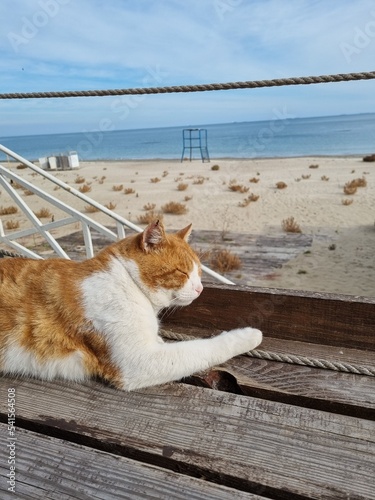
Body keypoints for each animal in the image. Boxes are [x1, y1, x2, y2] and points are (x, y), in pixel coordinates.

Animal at [0, 222, 262, 390]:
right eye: (182, 272)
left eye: (198, 272)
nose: (200, 288)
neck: (127, 281)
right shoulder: (137, 362)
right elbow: (203, 348)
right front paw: (248, 336)